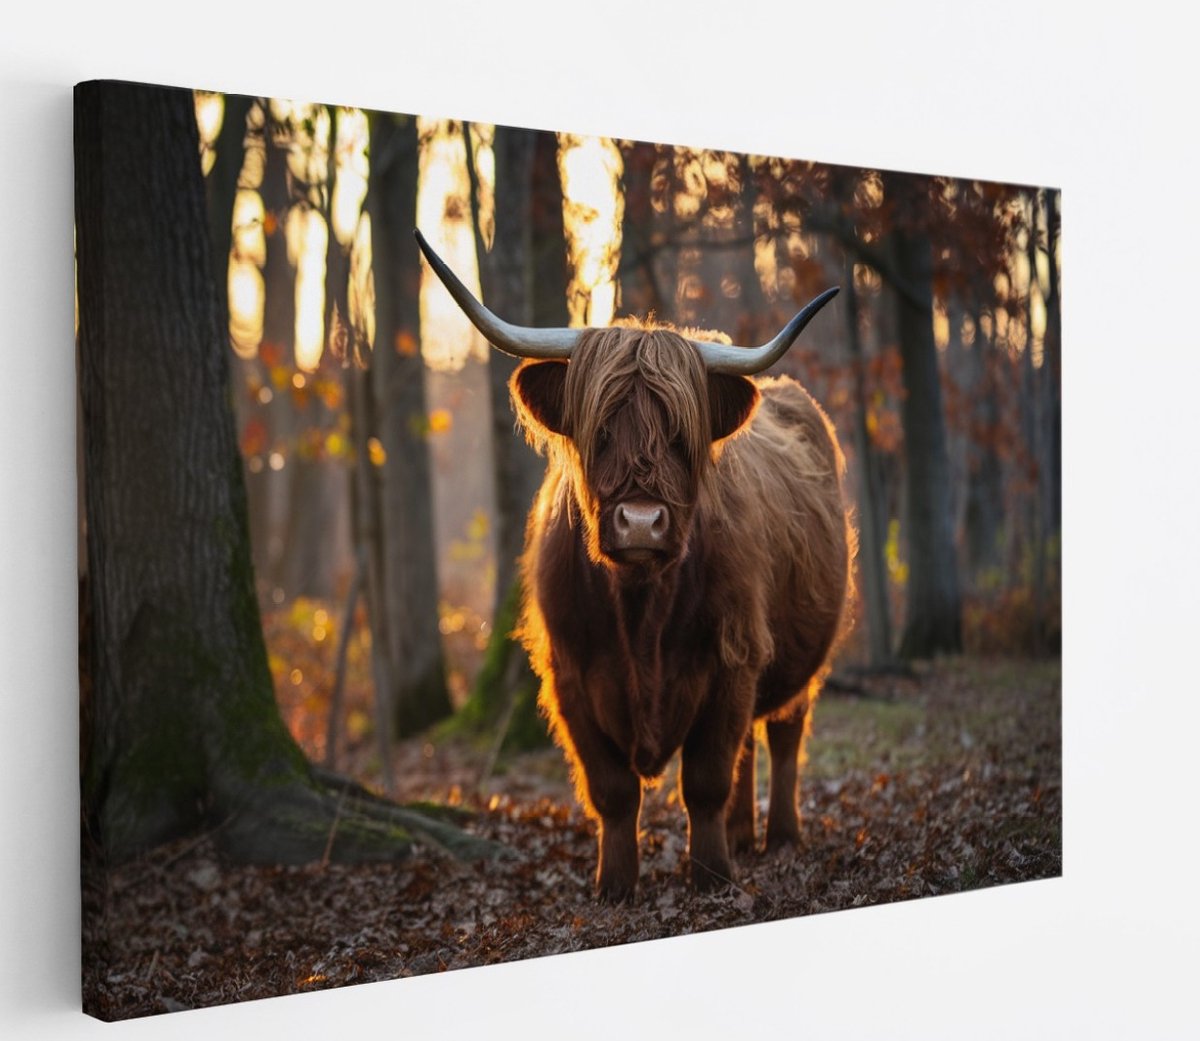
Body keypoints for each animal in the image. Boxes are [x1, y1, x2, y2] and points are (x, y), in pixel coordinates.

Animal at [416, 230, 855, 901]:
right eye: (598, 431)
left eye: (680, 436)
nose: (642, 522)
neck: (641, 608)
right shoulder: (570, 675)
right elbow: (614, 791)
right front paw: (616, 885)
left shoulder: (730, 658)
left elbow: (705, 778)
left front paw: (711, 875)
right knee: (750, 747)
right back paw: (744, 835)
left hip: (795, 657)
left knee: (781, 735)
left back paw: (779, 835)